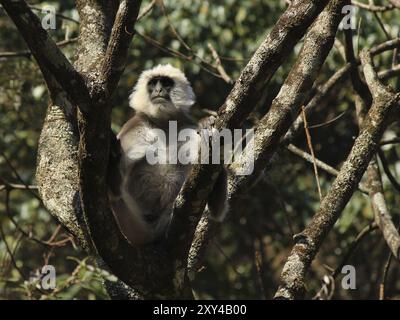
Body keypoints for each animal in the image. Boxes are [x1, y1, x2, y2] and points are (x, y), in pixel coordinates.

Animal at [108, 64, 227, 245]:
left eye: (165, 83)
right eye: (153, 83)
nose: (158, 90)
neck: (164, 124)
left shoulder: (188, 125)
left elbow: (216, 212)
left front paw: (206, 123)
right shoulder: (133, 126)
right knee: (116, 196)